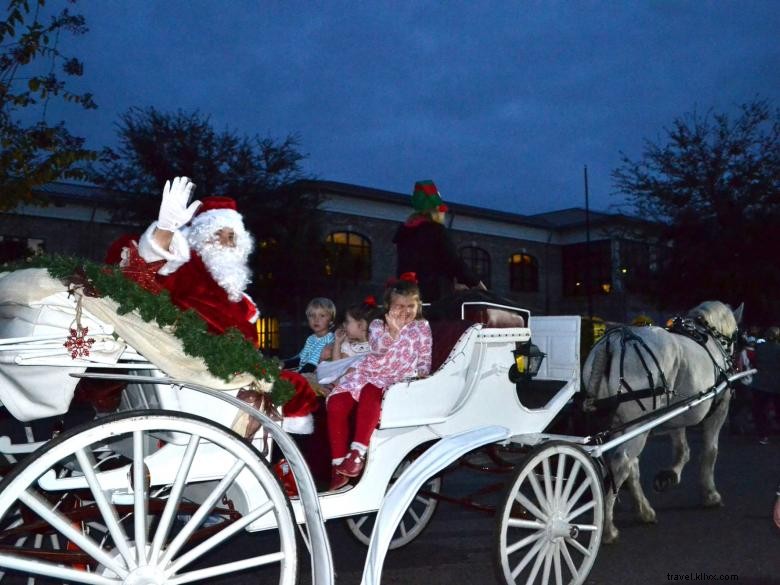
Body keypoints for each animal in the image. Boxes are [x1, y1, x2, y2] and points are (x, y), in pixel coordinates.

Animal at [580, 302, 740, 544]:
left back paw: (643, 511)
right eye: (737, 335)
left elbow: (682, 449)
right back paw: (607, 528)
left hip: (624, 424)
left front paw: (669, 476)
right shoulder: (719, 410)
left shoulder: (677, 413)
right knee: (622, 463)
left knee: (629, 465)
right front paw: (710, 494)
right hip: (638, 424)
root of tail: (614, 342)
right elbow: (710, 451)